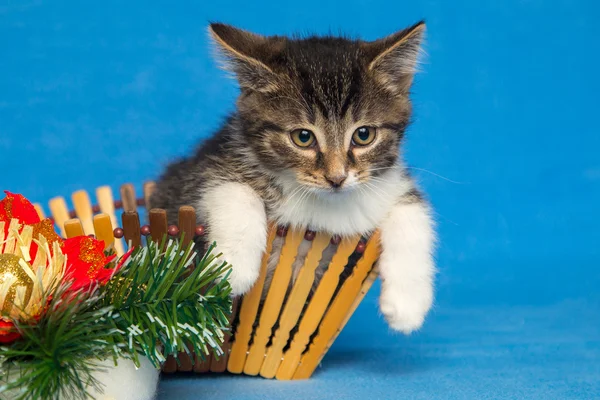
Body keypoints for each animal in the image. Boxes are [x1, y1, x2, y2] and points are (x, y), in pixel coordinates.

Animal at [148, 21, 434, 334]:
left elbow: (413, 209)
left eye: (363, 135)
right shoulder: (197, 169)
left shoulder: (389, 181)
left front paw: (408, 304)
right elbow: (228, 186)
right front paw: (234, 267)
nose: (337, 178)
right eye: (303, 137)